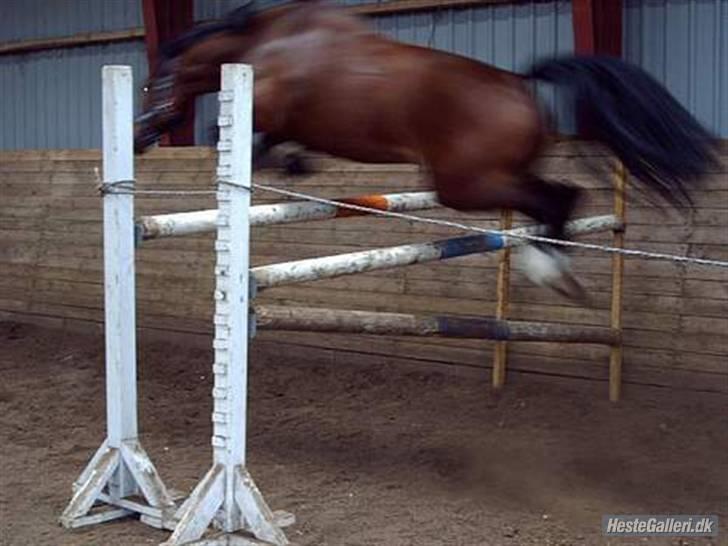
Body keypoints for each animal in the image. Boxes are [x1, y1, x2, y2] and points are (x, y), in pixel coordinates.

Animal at [132, 0, 716, 298]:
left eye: (151, 84)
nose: (138, 138)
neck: (268, 43)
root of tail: (518, 83)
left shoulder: (269, 108)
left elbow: (245, 145)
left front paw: (291, 164)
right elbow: (271, 146)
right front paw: (298, 163)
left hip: (465, 183)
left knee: (555, 198)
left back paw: (547, 269)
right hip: (494, 174)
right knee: (557, 198)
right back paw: (553, 268)